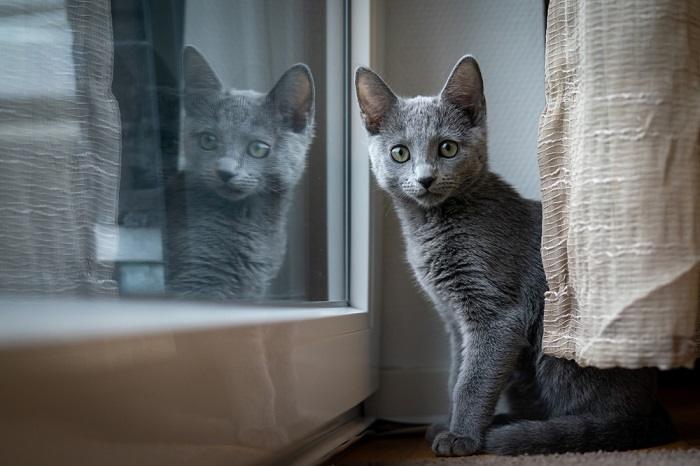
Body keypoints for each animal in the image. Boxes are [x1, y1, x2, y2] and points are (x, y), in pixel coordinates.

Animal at [356, 55, 680, 456]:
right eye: (400, 153)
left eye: (447, 148)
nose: (425, 178)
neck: (431, 227)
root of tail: (653, 407)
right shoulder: (453, 321)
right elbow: (456, 374)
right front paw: (451, 424)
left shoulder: (497, 315)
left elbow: (473, 381)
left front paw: (461, 437)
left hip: (555, 343)